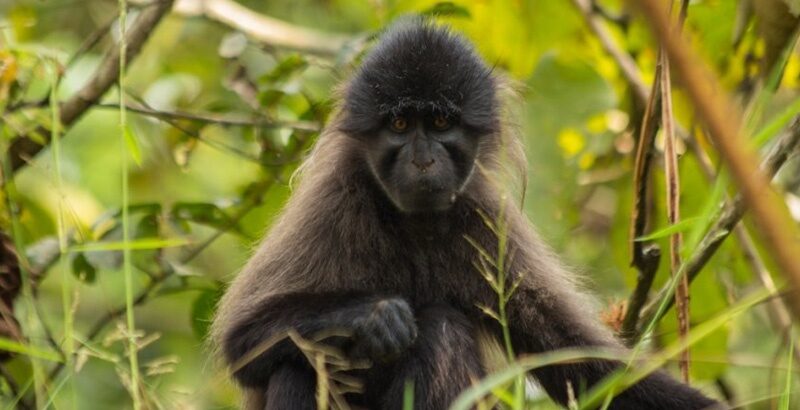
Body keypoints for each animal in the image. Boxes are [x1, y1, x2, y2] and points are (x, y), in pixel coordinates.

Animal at [212, 18, 721, 410]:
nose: (422, 159)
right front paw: (374, 316)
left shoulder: (486, 221)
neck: (414, 223)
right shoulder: (335, 200)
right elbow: (243, 341)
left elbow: (580, 365)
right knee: (296, 363)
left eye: (440, 124)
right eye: (400, 125)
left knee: (441, 328)